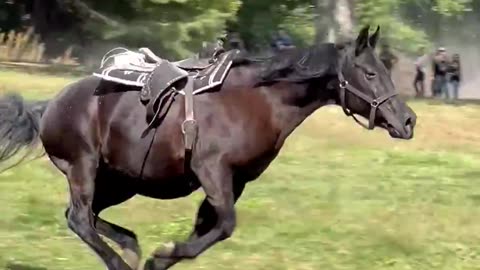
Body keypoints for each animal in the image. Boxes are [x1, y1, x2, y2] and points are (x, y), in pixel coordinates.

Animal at [0, 24, 416, 268]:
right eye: (370, 72)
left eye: (383, 69)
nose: (408, 120)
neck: (259, 99)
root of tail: (50, 106)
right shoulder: (213, 171)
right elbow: (225, 225)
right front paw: (162, 255)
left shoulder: (237, 180)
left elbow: (208, 228)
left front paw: (159, 258)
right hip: (83, 167)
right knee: (79, 218)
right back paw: (121, 260)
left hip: (120, 180)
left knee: (86, 216)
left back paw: (131, 246)